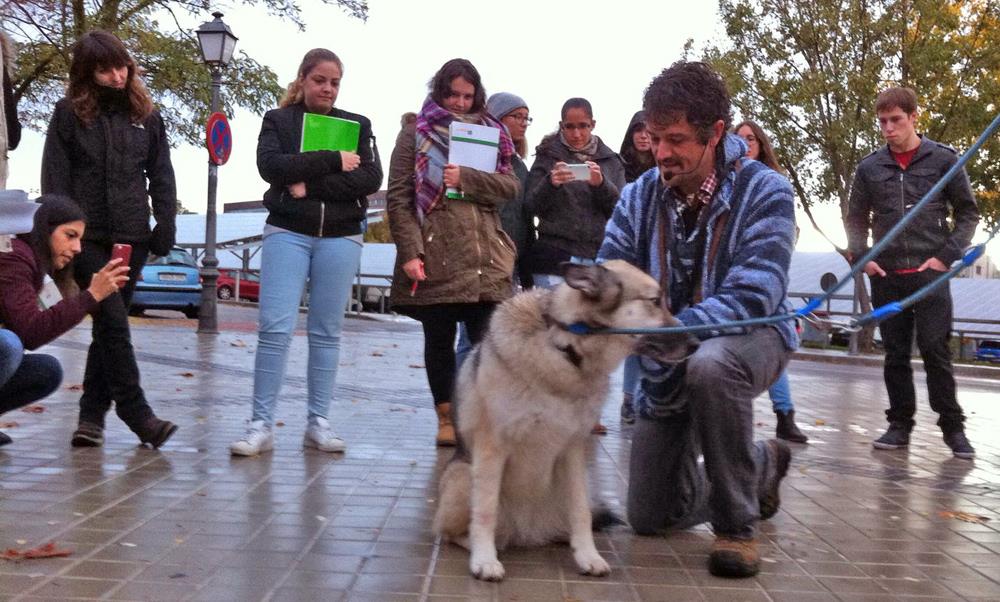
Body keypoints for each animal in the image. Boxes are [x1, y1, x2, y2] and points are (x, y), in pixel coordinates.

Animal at [432, 260, 699, 581]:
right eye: (655, 301)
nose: (696, 342)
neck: (566, 347)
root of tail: (528, 532)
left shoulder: (573, 451)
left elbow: (580, 512)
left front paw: (588, 556)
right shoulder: (491, 448)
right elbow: (485, 511)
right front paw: (484, 559)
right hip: (461, 475)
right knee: (458, 530)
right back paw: (486, 543)